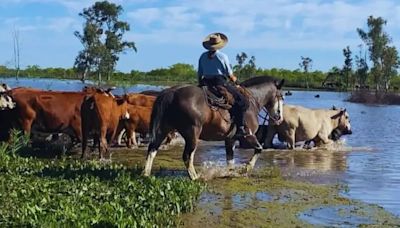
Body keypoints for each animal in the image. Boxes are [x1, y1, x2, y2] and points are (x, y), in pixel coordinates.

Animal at [142, 75, 282, 179]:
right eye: (281, 96)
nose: (279, 117)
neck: (252, 102)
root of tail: (171, 92)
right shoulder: (249, 135)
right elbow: (259, 149)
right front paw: (246, 169)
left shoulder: (230, 139)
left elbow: (230, 160)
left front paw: (230, 172)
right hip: (192, 133)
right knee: (187, 156)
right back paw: (195, 177)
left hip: (163, 129)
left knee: (152, 149)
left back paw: (146, 174)